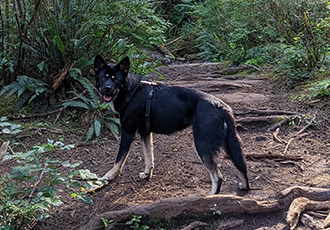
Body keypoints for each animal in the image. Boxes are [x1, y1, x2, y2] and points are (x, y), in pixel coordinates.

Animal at [94, 55, 249, 194]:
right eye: (103, 78)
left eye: (115, 79)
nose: (107, 88)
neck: (131, 92)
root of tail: (222, 107)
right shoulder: (145, 133)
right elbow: (149, 158)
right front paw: (147, 174)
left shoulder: (128, 134)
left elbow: (119, 160)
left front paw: (108, 176)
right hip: (228, 144)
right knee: (242, 166)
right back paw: (244, 185)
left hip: (203, 145)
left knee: (218, 177)